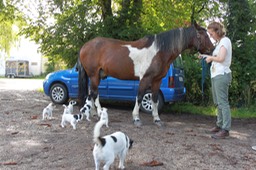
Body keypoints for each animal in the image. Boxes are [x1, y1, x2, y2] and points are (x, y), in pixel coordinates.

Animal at [77, 21, 214, 126]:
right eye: (203, 35)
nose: (212, 50)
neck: (159, 51)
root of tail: (85, 46)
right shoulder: (145, 78)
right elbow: (139, 96)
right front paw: (136, 119)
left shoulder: (157, 80)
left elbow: (154, 99)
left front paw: (157, 119)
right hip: (94, 75)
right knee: (95, 94)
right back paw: (100, 114)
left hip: (96, 76)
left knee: (91, 93)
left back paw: (94, 114)